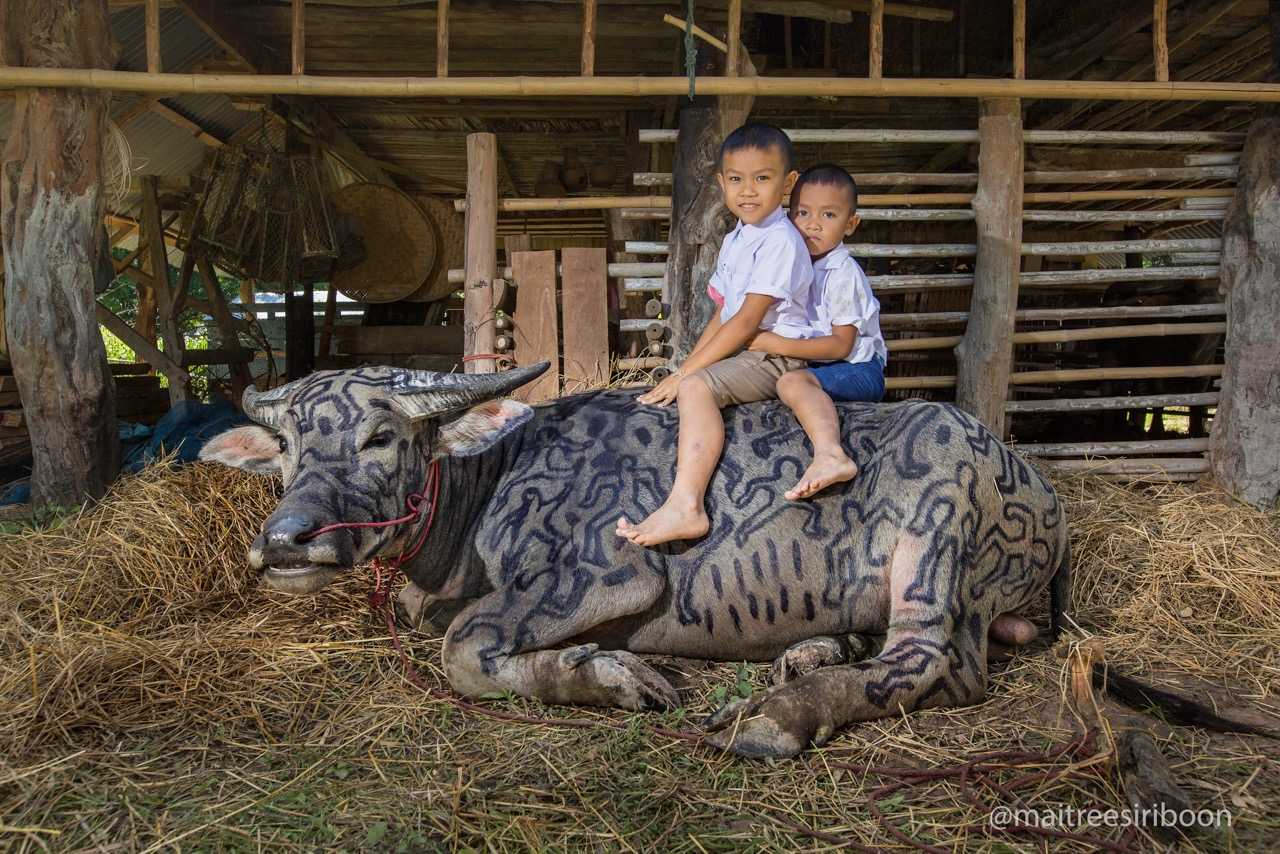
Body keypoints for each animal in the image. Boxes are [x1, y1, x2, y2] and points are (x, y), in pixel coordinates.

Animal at [199, 363, 1070, 757]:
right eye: (287, 445)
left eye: (380, 437)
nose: (286, 538)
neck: (490, 483)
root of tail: (1039, 489)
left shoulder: (606, 573)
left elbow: (464, 645)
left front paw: (609, 675)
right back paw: (807, 654)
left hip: (937, 537)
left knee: (935, 662)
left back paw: (774, 715)